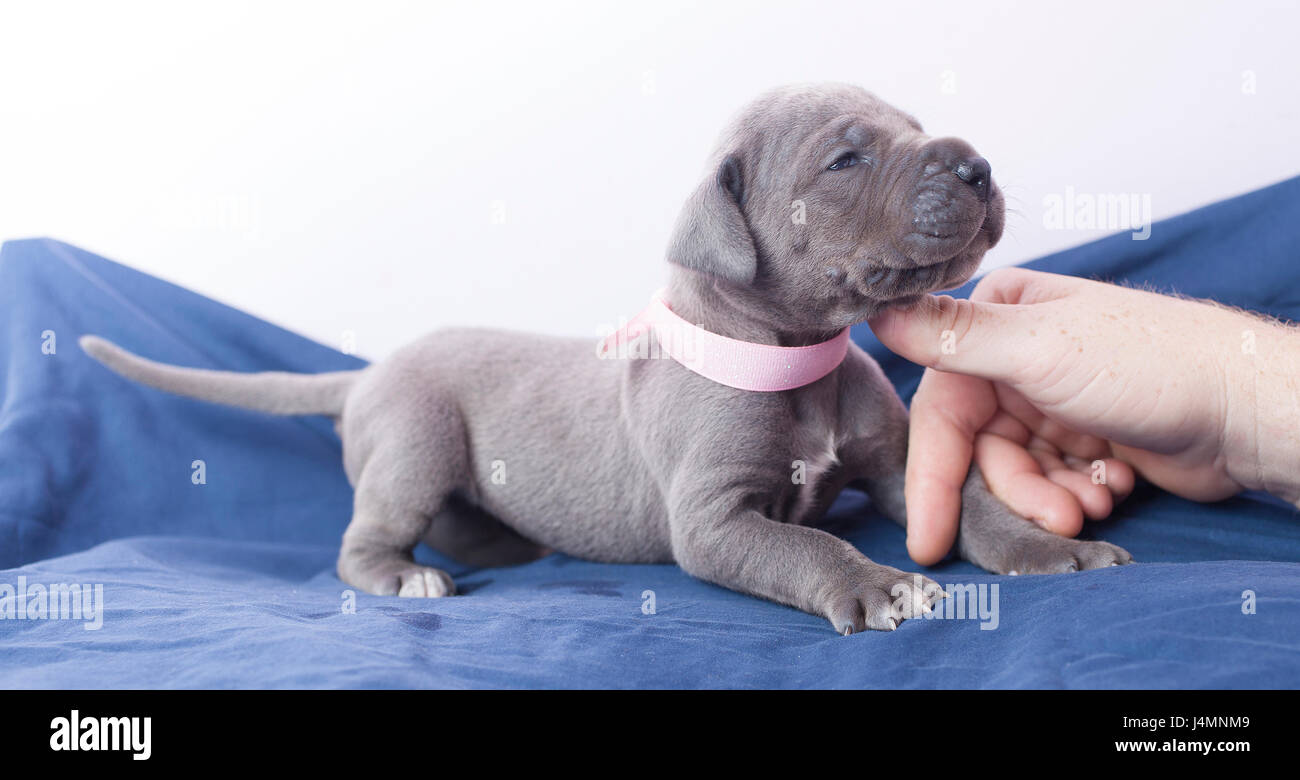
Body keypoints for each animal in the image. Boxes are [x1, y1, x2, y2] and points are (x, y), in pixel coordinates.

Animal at [78, 85, 1128, 634]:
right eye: (846, 160)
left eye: (912, 125)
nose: (977, 165)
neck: (793, 362)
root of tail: (370, 370)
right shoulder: (711, 521)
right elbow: (802, 544)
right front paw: (874, 583)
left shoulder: (896, 463)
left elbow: (974, 508)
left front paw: (1051, 551)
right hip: (415, 440)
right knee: (363, 541)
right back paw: (405, 578)